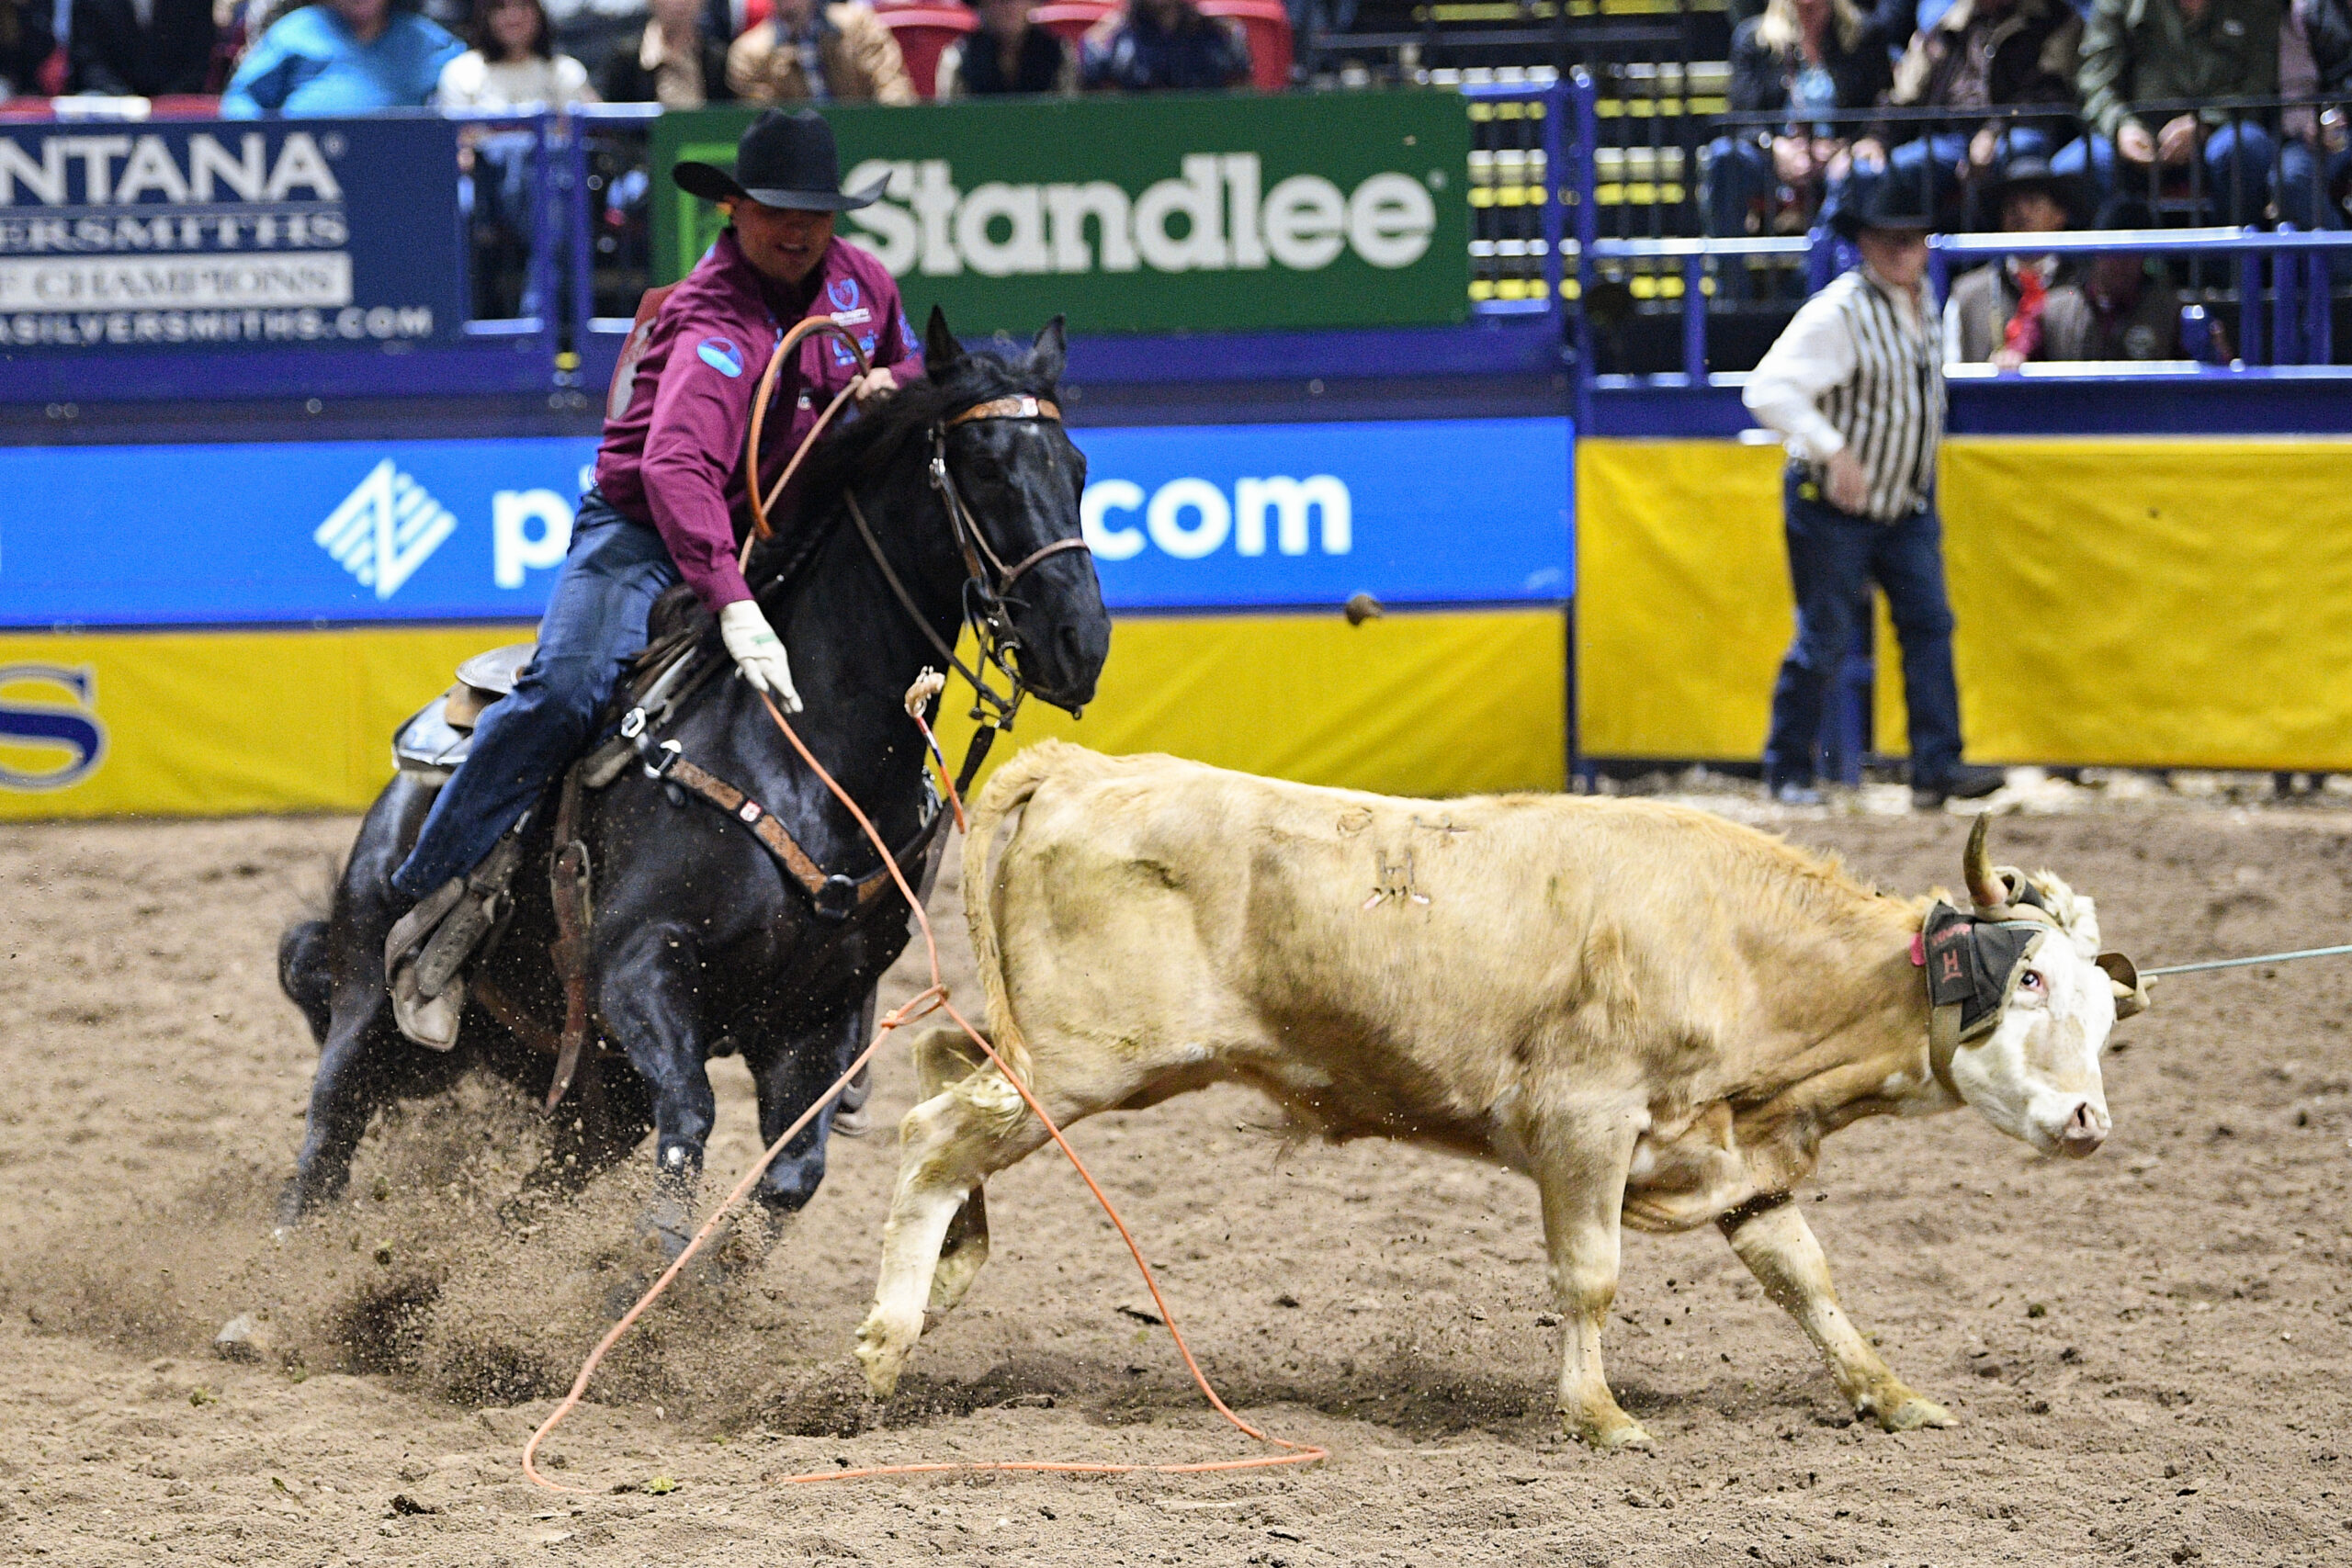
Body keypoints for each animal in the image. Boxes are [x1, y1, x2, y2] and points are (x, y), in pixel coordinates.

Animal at [277, 314, 1110, 1241]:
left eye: (1077, 469)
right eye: (986, 467)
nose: (1079, 640)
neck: (804, 764)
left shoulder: (818, 1018)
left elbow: (791, 1176)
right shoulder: (638, 966)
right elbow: (693, 1118)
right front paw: (651, 1251)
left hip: (587, 1090)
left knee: (528, 1199)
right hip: (367, 997)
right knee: (326, 1135)